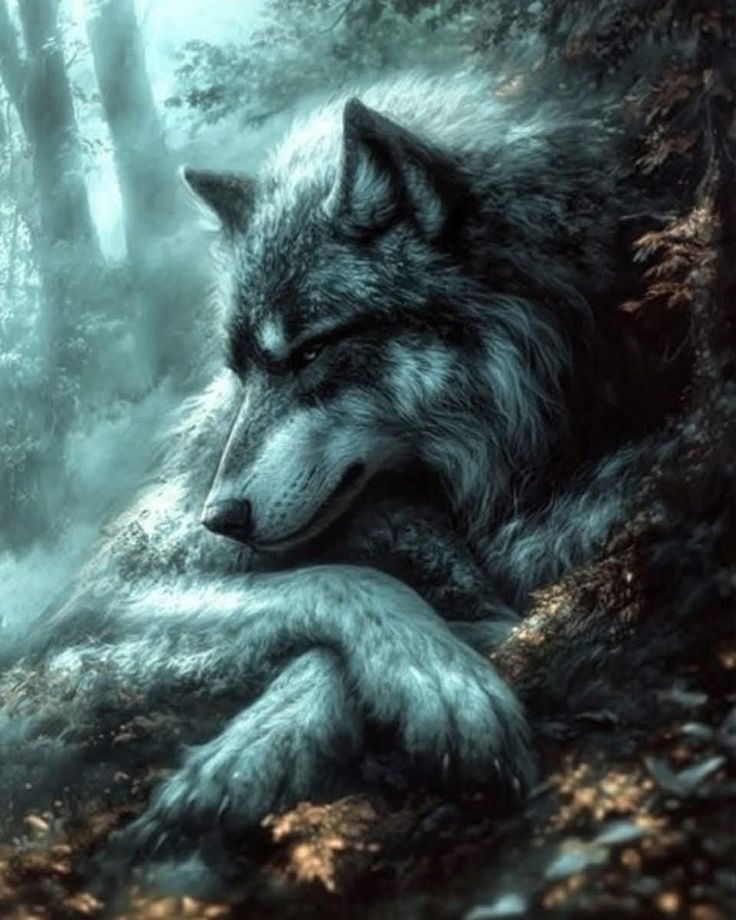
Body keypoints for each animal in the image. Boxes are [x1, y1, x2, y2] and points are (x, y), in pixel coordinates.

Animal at [1, 72, 676, 864]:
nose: (218, 517)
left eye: (312, 352)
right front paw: (439, 684)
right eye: (243, 372)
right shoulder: (90, 610)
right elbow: (348, 582)